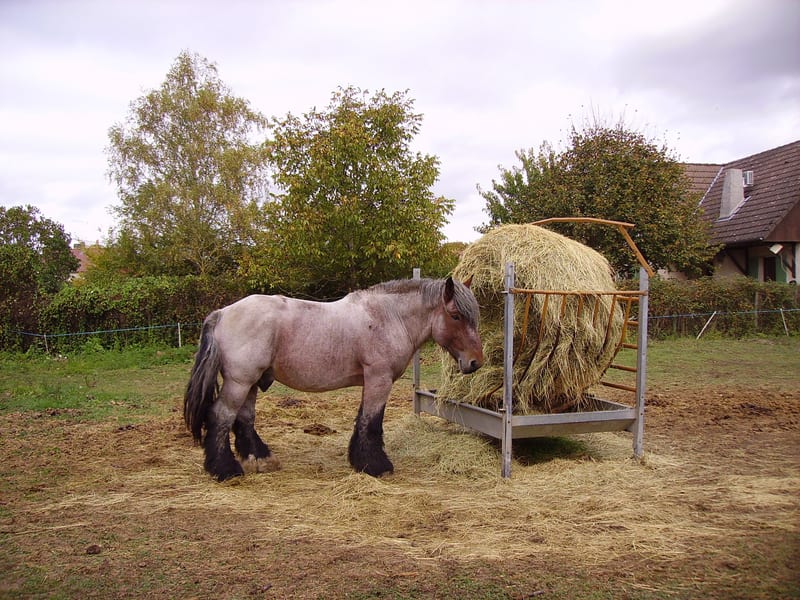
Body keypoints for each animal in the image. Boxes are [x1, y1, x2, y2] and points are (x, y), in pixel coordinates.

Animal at [183, 276, 483, 481]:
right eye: (455, 315)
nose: (475, 362)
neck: (389, 317)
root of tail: (222, 313)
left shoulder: (371, 381)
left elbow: (362, 421)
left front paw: (360, 461)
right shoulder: (379, 379)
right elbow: (371, 423)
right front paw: (377, 466)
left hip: (251, 383)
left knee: (244, 419)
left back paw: (260, 460)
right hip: (240, 381)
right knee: (221, 416)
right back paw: (225, 470)